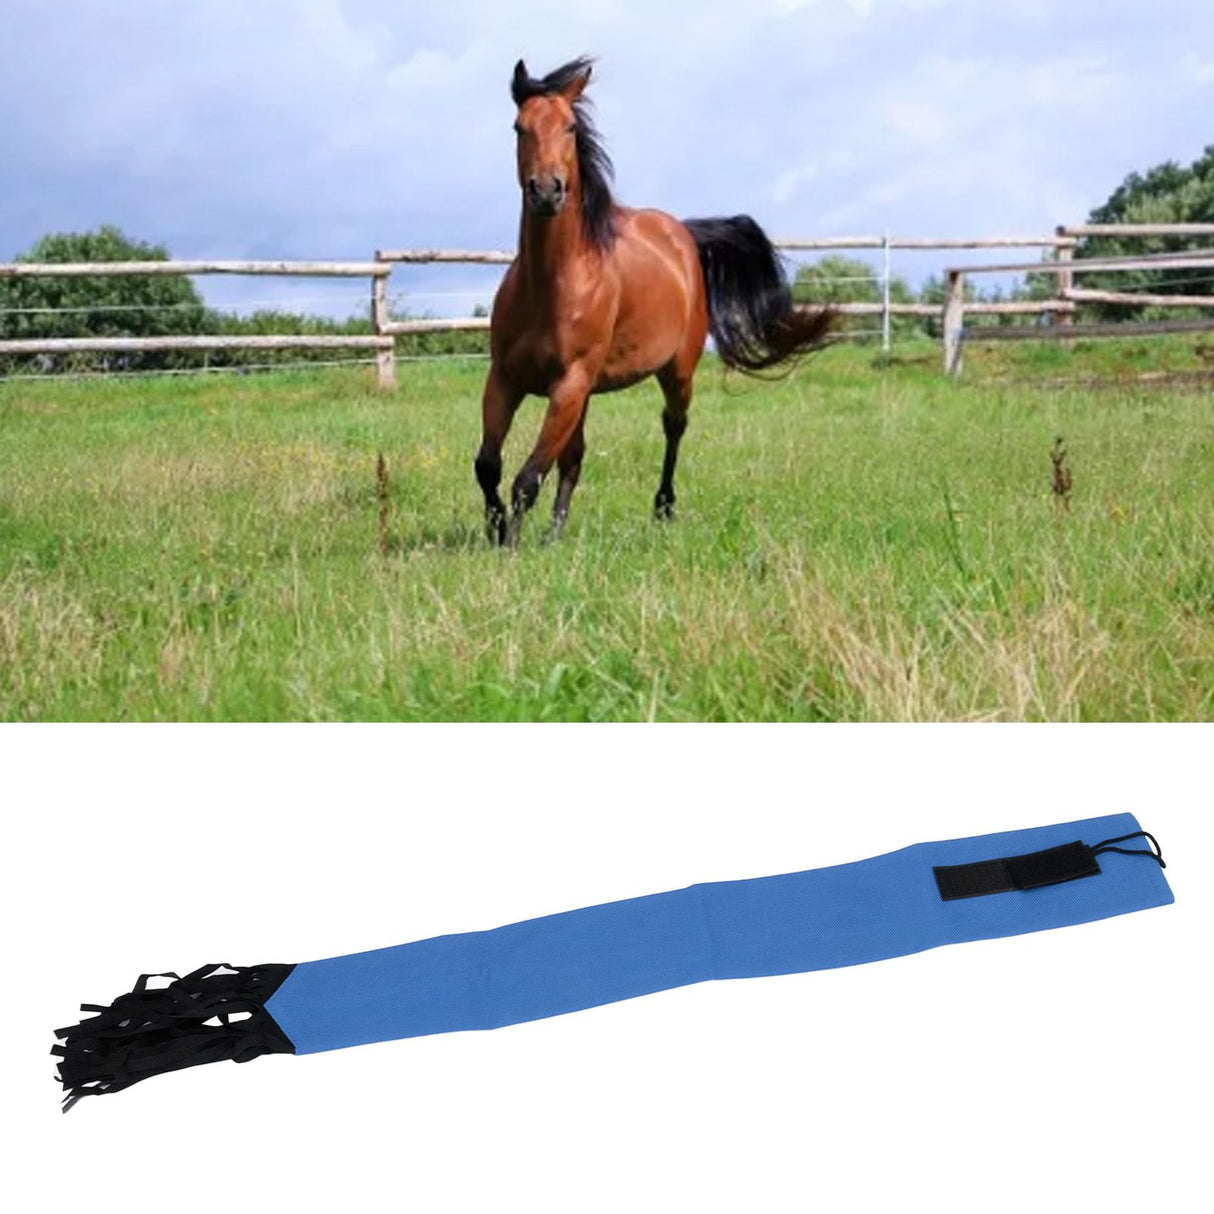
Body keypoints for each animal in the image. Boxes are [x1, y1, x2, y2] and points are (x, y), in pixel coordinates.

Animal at [474, 56, 835, 545]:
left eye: (570, 127)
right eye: (519, 127)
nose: (547, 191)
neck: (551, 284)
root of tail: (682, 233)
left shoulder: (568, 384)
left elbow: (527, 478)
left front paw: (509, 545)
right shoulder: (507, 379)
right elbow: (488, 466)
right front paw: (497, 530)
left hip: (676, 371)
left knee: (673, 426)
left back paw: (663, 508)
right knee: (574, 458)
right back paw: (555, 534)